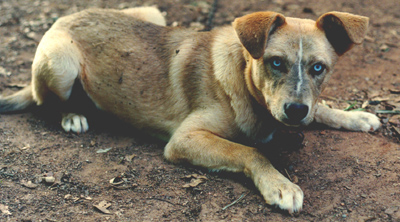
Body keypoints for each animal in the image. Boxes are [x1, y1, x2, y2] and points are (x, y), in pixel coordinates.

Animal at [0, 6, 382, 212]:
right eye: (275, 62)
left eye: (318, 68)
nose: (295, 111)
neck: (244, 81)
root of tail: (63, 18)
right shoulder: (185, 139)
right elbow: (249, 151)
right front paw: (280, 184)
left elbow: (321, 108)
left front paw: (354, 116)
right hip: (61, 63)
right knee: (44, 102)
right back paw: (73, 115)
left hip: (152, 12)